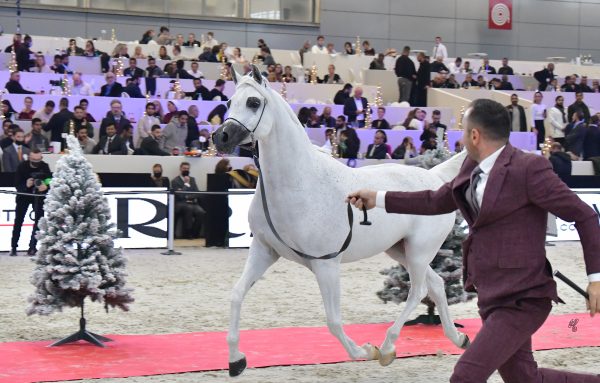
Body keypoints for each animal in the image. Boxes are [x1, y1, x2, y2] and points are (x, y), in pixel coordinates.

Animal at [213, 66, 472, 378]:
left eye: (253, 102)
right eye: (229, 102)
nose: (221, 137)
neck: (299, 183)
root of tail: (435, 178)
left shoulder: (326, 265)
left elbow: (334, 321)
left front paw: (366, 351)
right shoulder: (264, 251)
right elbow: (236, 294)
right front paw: (236, 361)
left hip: (420, 251)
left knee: (419, 290)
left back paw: (387, 348)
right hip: (401, 250)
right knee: (436, 284)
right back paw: (459, 338)